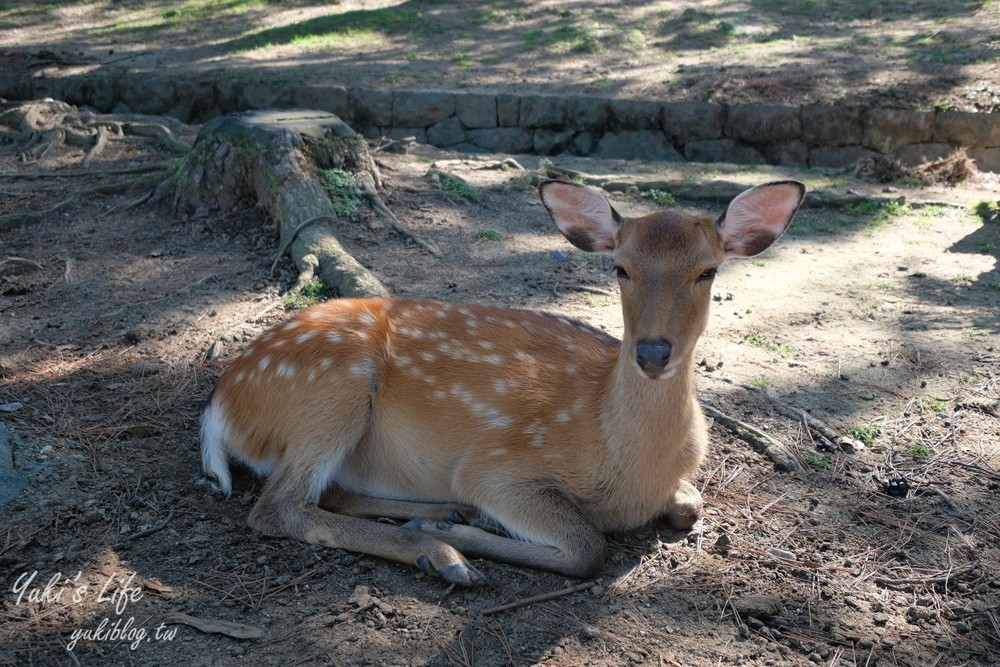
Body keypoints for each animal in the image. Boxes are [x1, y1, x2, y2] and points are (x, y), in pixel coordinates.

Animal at [203, 177, 804, 584]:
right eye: (621, 267)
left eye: (708, 270)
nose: (653, 351)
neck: (631, 471)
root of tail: (220, 405)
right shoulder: (498, 464)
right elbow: (588, 548)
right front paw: (455, 537)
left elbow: (690, 505)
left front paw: (449, 525)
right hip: (334, 385)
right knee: (279, 507)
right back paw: (443, 552)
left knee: (328, 492)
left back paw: (441, 518)